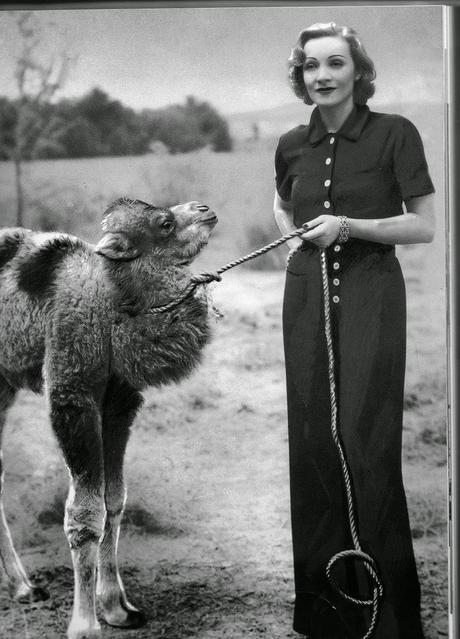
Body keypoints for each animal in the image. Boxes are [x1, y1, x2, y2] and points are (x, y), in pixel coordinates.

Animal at [0, 199, 217, 639]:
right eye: (164, 222)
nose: (205, 208)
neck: (111, 301)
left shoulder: (119, 401)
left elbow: (113, 500)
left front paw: (118, 608)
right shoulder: (73, 395)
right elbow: (84, 515)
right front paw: (85, 625)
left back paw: (23, 587)